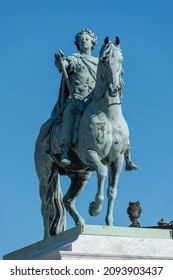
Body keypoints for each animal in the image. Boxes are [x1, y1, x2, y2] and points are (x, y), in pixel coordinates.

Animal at [34, 36, 130, 238]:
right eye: (104, 60)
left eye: (121, 60)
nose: (115, 88)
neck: (108, 115)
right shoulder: (89, 153)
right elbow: (102, 172)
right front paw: (94, 207)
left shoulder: (116, 159)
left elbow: (112, 190)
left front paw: (109, 224)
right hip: (46, 175)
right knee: (46, 206)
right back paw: (46, 238)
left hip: (81, 175)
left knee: (67, 200)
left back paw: (80, 223)